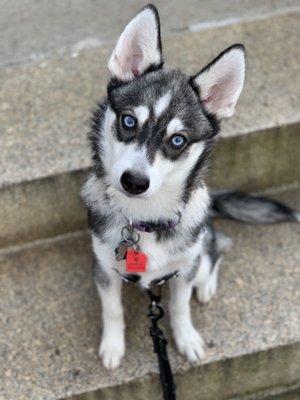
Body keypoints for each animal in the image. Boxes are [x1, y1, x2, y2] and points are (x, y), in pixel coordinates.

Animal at [81, 4, 298, 370]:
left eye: (178, 140)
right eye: (128, 121)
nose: (134, 182)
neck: (145, 220)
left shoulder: (182, 270)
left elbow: (179, 307)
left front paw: (186, 338)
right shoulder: (105, 269)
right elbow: (112, 310)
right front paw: (113, 345)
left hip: (202, 243)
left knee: (216, 249)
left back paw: (206, 285)